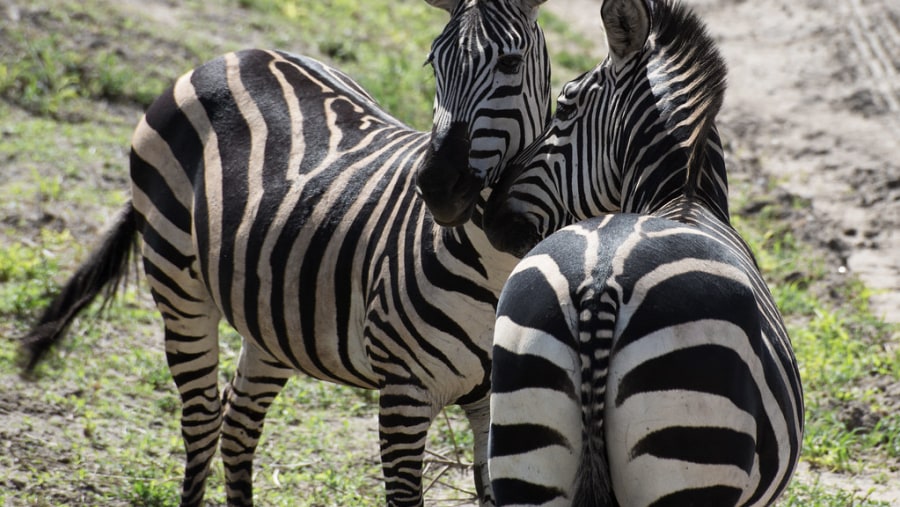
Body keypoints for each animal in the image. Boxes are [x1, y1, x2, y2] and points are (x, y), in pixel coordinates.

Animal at [21, 1, 552, 506]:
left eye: (510, 62)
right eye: (433, 62)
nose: (438, 187)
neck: (496, 271)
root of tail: (235, 55)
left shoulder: (493, 397)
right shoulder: (404, 392)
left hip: (276, 315)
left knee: (237, 424)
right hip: (178, 281)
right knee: (201, 420)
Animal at [482, 0, 804, 506]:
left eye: (564, 105)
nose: (491, 215)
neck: (682, 197)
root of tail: (600, 282)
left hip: (525, 426)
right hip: (690, 437)